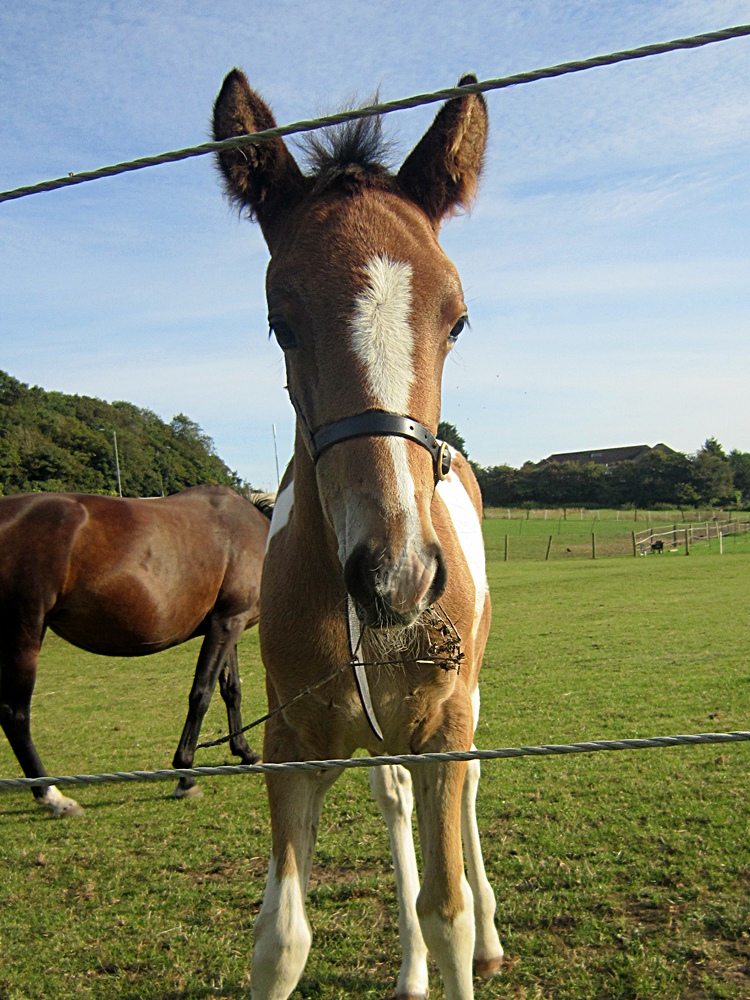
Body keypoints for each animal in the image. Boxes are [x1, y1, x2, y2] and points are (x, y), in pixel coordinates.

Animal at [0, 483, 271, 816]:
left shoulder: (228, 622)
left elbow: (231, 690)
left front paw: (246, 752)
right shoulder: (228, 622)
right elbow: (201, 694)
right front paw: (185, 776)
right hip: (23, 633)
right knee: (15, 714)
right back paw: (52, 796)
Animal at [213, 70, 501, 1000]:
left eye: (457, 319)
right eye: (281, 320)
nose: (396, 576)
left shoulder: (443, 724)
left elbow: (447, 913)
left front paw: (466, 939)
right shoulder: (291, 747)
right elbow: (281, 940)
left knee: (467, 789)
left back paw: (491, 934)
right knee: (394, 801)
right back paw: (408, 973)